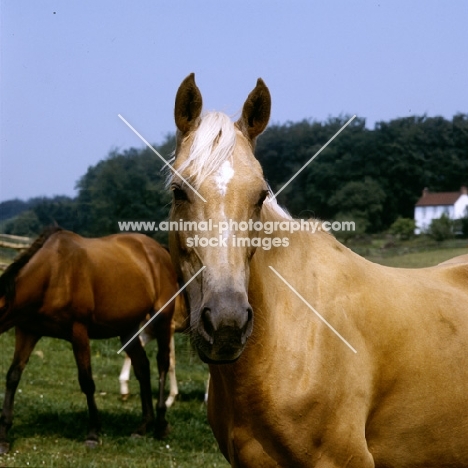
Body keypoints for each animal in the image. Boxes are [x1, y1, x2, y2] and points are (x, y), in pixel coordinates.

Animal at [0, 227, 176, 454]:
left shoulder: (79, 332)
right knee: (142, 367)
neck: (54, 272)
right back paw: (144, 426)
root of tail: (158, 250)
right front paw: (4, 435)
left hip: (162, 319)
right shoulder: (27, 331)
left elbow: (87, 381)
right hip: (127, 328)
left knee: (162, 363)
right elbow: (13, 376)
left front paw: (93, 433)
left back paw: (161, 424)